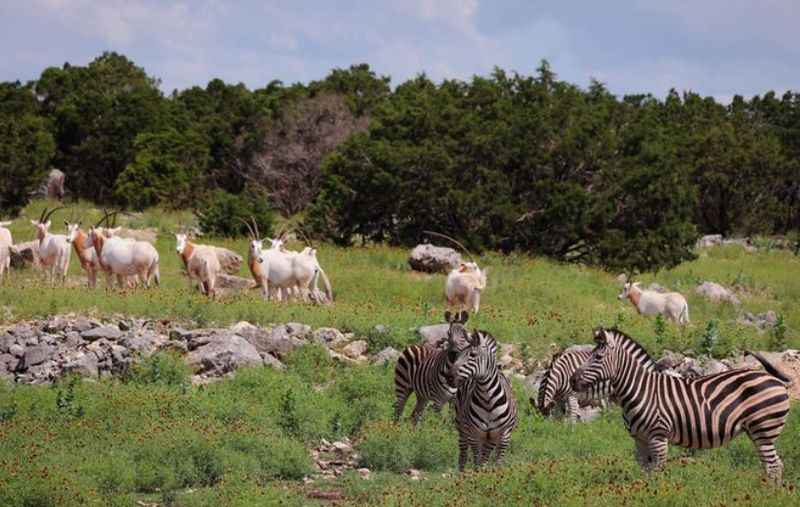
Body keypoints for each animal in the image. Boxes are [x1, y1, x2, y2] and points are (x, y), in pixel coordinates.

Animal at [450, 330, 520, 472]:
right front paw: (478, 475)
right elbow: (477, 459)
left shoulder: (503, 434)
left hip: (490, 437)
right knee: (464, 453)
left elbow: (497, 461)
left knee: (485, 455)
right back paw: (461, 473)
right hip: (462, 427)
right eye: (457, 355)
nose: (449, 377)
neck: (488, 400)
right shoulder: (475, 433)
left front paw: (493, 474)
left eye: (473, 355)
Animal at [572, 330, 792, 484]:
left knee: (773, 466)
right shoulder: (640, 440)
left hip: (764, 429)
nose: (573, 379)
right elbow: (645, 472)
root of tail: (771, 377)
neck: (639, 391)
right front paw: (642, 493)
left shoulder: (658, 437)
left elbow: (656, 473)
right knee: (776, 465)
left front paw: (655, 495)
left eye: (598, 358)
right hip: (758, 432)